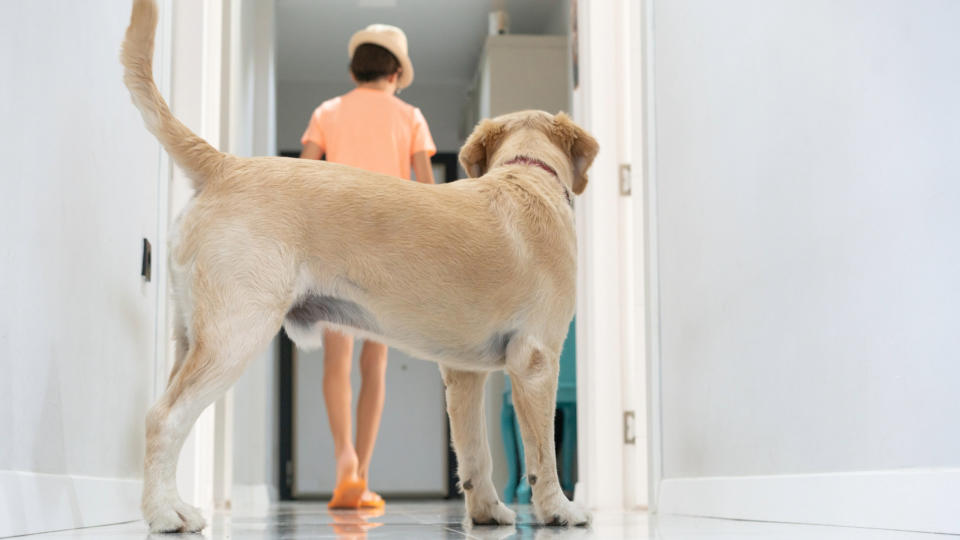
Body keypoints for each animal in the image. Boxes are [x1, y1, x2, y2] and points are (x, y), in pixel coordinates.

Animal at [122, 0, 600, 532]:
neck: (527, 175)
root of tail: (226, 165)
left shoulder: (463, 374)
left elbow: (475, 452)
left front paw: (488, 511)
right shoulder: (537, 360)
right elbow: (542, 453)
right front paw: (558, 509)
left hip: (191, 335)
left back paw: (172, 503)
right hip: (234, 333)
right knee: (163, 418)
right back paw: (165, 512)